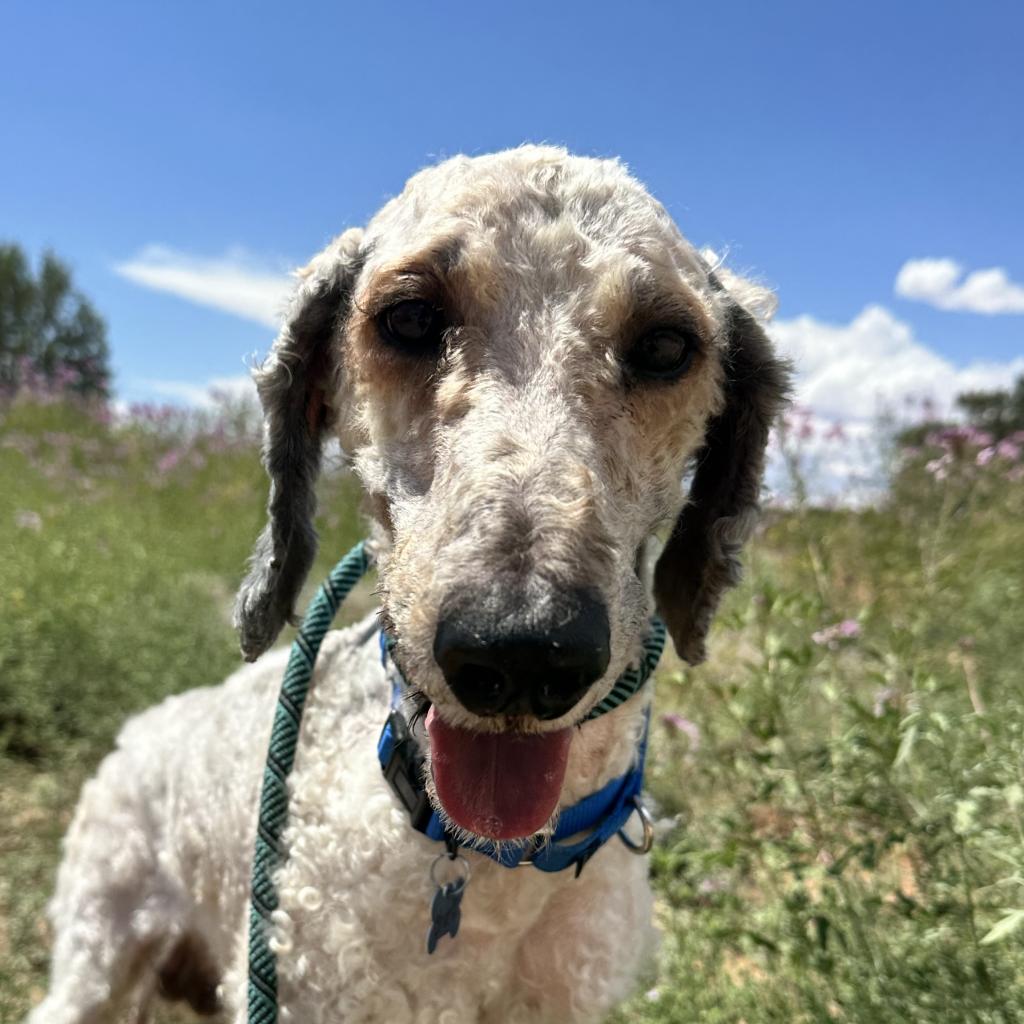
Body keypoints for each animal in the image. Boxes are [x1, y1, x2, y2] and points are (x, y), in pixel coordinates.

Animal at [28, 146, 786, 1024]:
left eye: (665, 346)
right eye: (413, 319)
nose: (520, 651)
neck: (489, 862)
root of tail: (144, 724)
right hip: (98, 953)